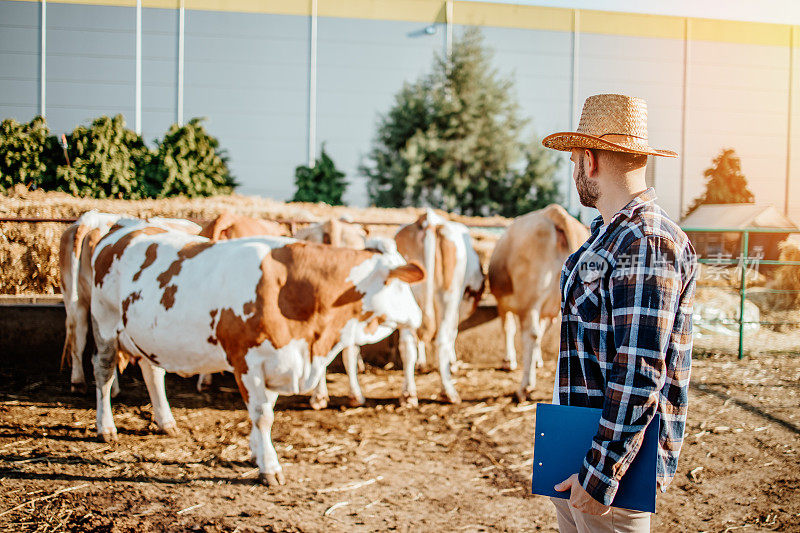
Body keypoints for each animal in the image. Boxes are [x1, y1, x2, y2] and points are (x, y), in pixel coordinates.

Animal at [87, 218, 424, 484]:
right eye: (400, 285)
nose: (419, 316)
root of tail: (123, 227)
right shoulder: (247, 362)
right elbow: (262, 416)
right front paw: (269, 467)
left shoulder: (278, 361)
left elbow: (264, 412)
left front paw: (255, 453)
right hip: (104, 324)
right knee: (103, 371)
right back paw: (106, 427)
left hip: (146, 334)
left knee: (152, 370)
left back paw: (165, 421)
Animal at [394, 210, 488, 402]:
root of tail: (427, 220)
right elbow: (453, 332)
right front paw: (452, 363)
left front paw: (422, 363)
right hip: (448, 296)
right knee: (441, 340)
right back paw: (449, 391)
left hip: (407, 298)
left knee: (407, 344)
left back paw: (408, 394)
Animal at [488, 204, 588, 400]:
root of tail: (555, 212)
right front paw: (538, 360)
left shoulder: (503, 304)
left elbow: (508, 328)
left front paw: (508, 360)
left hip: (529, 300)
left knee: (531, 334)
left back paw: (525, 387)